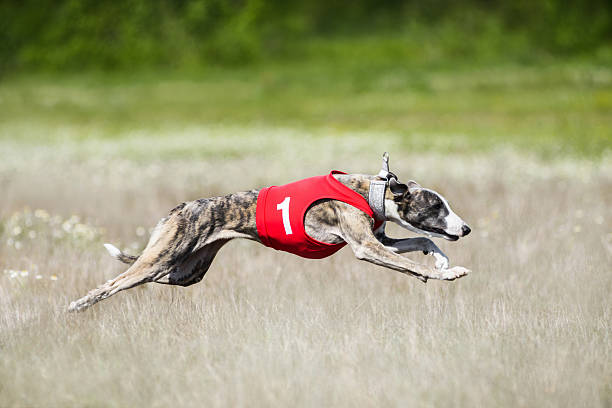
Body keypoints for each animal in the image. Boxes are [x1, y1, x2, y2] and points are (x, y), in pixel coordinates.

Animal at [70, 154, 474, 312]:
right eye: (437, 207)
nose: (466, 228)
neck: (370, 191)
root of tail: (181, 208)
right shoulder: (366, 247)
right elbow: (413, 262)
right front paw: (447, 272)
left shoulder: (382, 239)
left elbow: (422, 240)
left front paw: (441, 260)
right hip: (163, 258)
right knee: (115, 282)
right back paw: (78, 305)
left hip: (185, 271)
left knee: (149, 277)